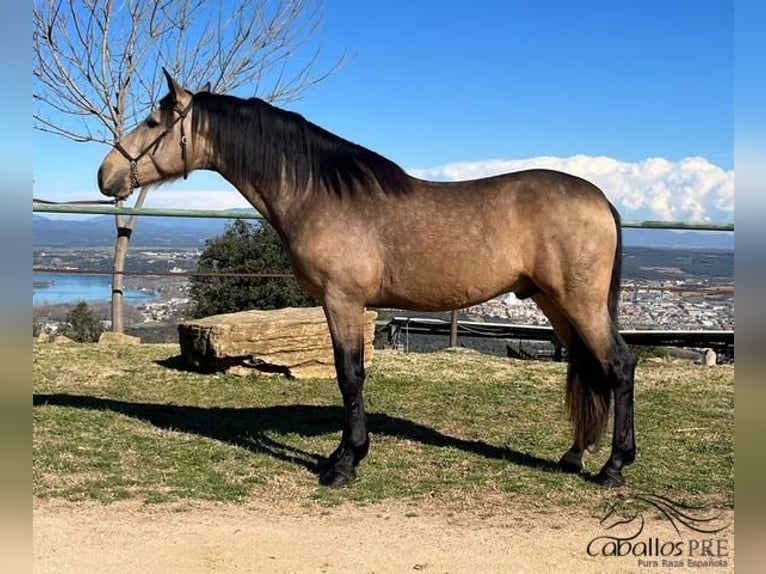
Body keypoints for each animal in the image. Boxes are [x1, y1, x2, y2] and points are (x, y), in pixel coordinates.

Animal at [99, 68, 640, 490]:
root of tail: (600, 198)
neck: (320, 194)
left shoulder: (343, 301)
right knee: (588, 366)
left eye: (153, 122)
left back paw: (613, 467)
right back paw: (573, 455)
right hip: (554, 302)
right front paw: (346, 455)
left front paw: (345, 462)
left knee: (618, 365)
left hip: (579, 302)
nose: (105, 175)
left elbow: (350, 375)